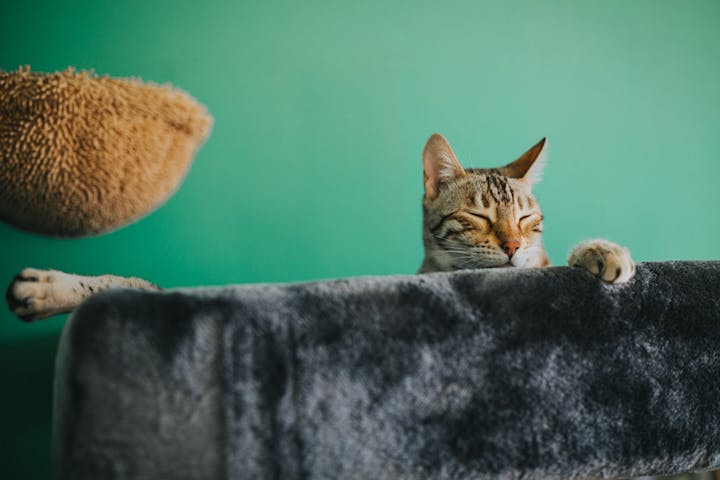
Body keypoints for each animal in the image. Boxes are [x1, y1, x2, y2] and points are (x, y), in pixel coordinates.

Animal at [5, 133, 636, 320]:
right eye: (480, 217)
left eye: (526, 219)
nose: (511, 246)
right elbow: (136, 286)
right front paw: (57, 286)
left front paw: (604, 251)